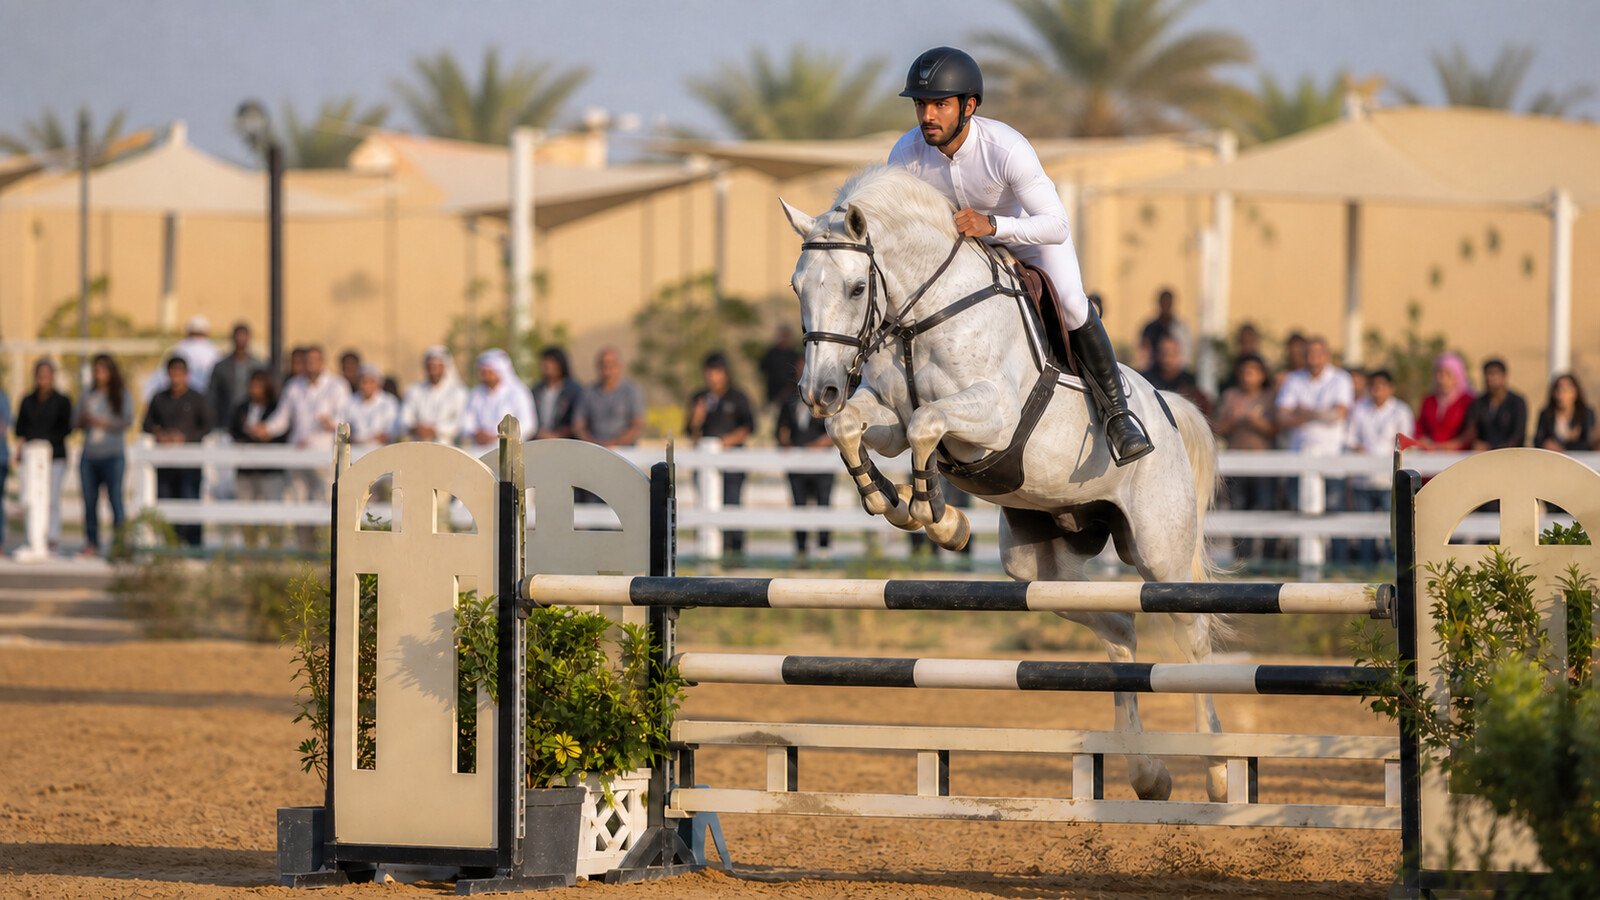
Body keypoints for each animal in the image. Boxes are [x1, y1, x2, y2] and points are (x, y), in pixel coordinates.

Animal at [780, 166, 1226, 802]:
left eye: (855, 289)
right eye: (798, 288)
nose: (818, 391)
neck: (921, 314)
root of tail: (1168, 406)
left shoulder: (992, 416)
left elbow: (926, 422)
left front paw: (937, 516)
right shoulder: (883, 416)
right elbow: (859, 428)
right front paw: (896, 503)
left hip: (1159, 553)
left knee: (1192, 640)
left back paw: (1216, 770)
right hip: (1038, 565)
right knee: (1119, 627)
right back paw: (1148, 774)